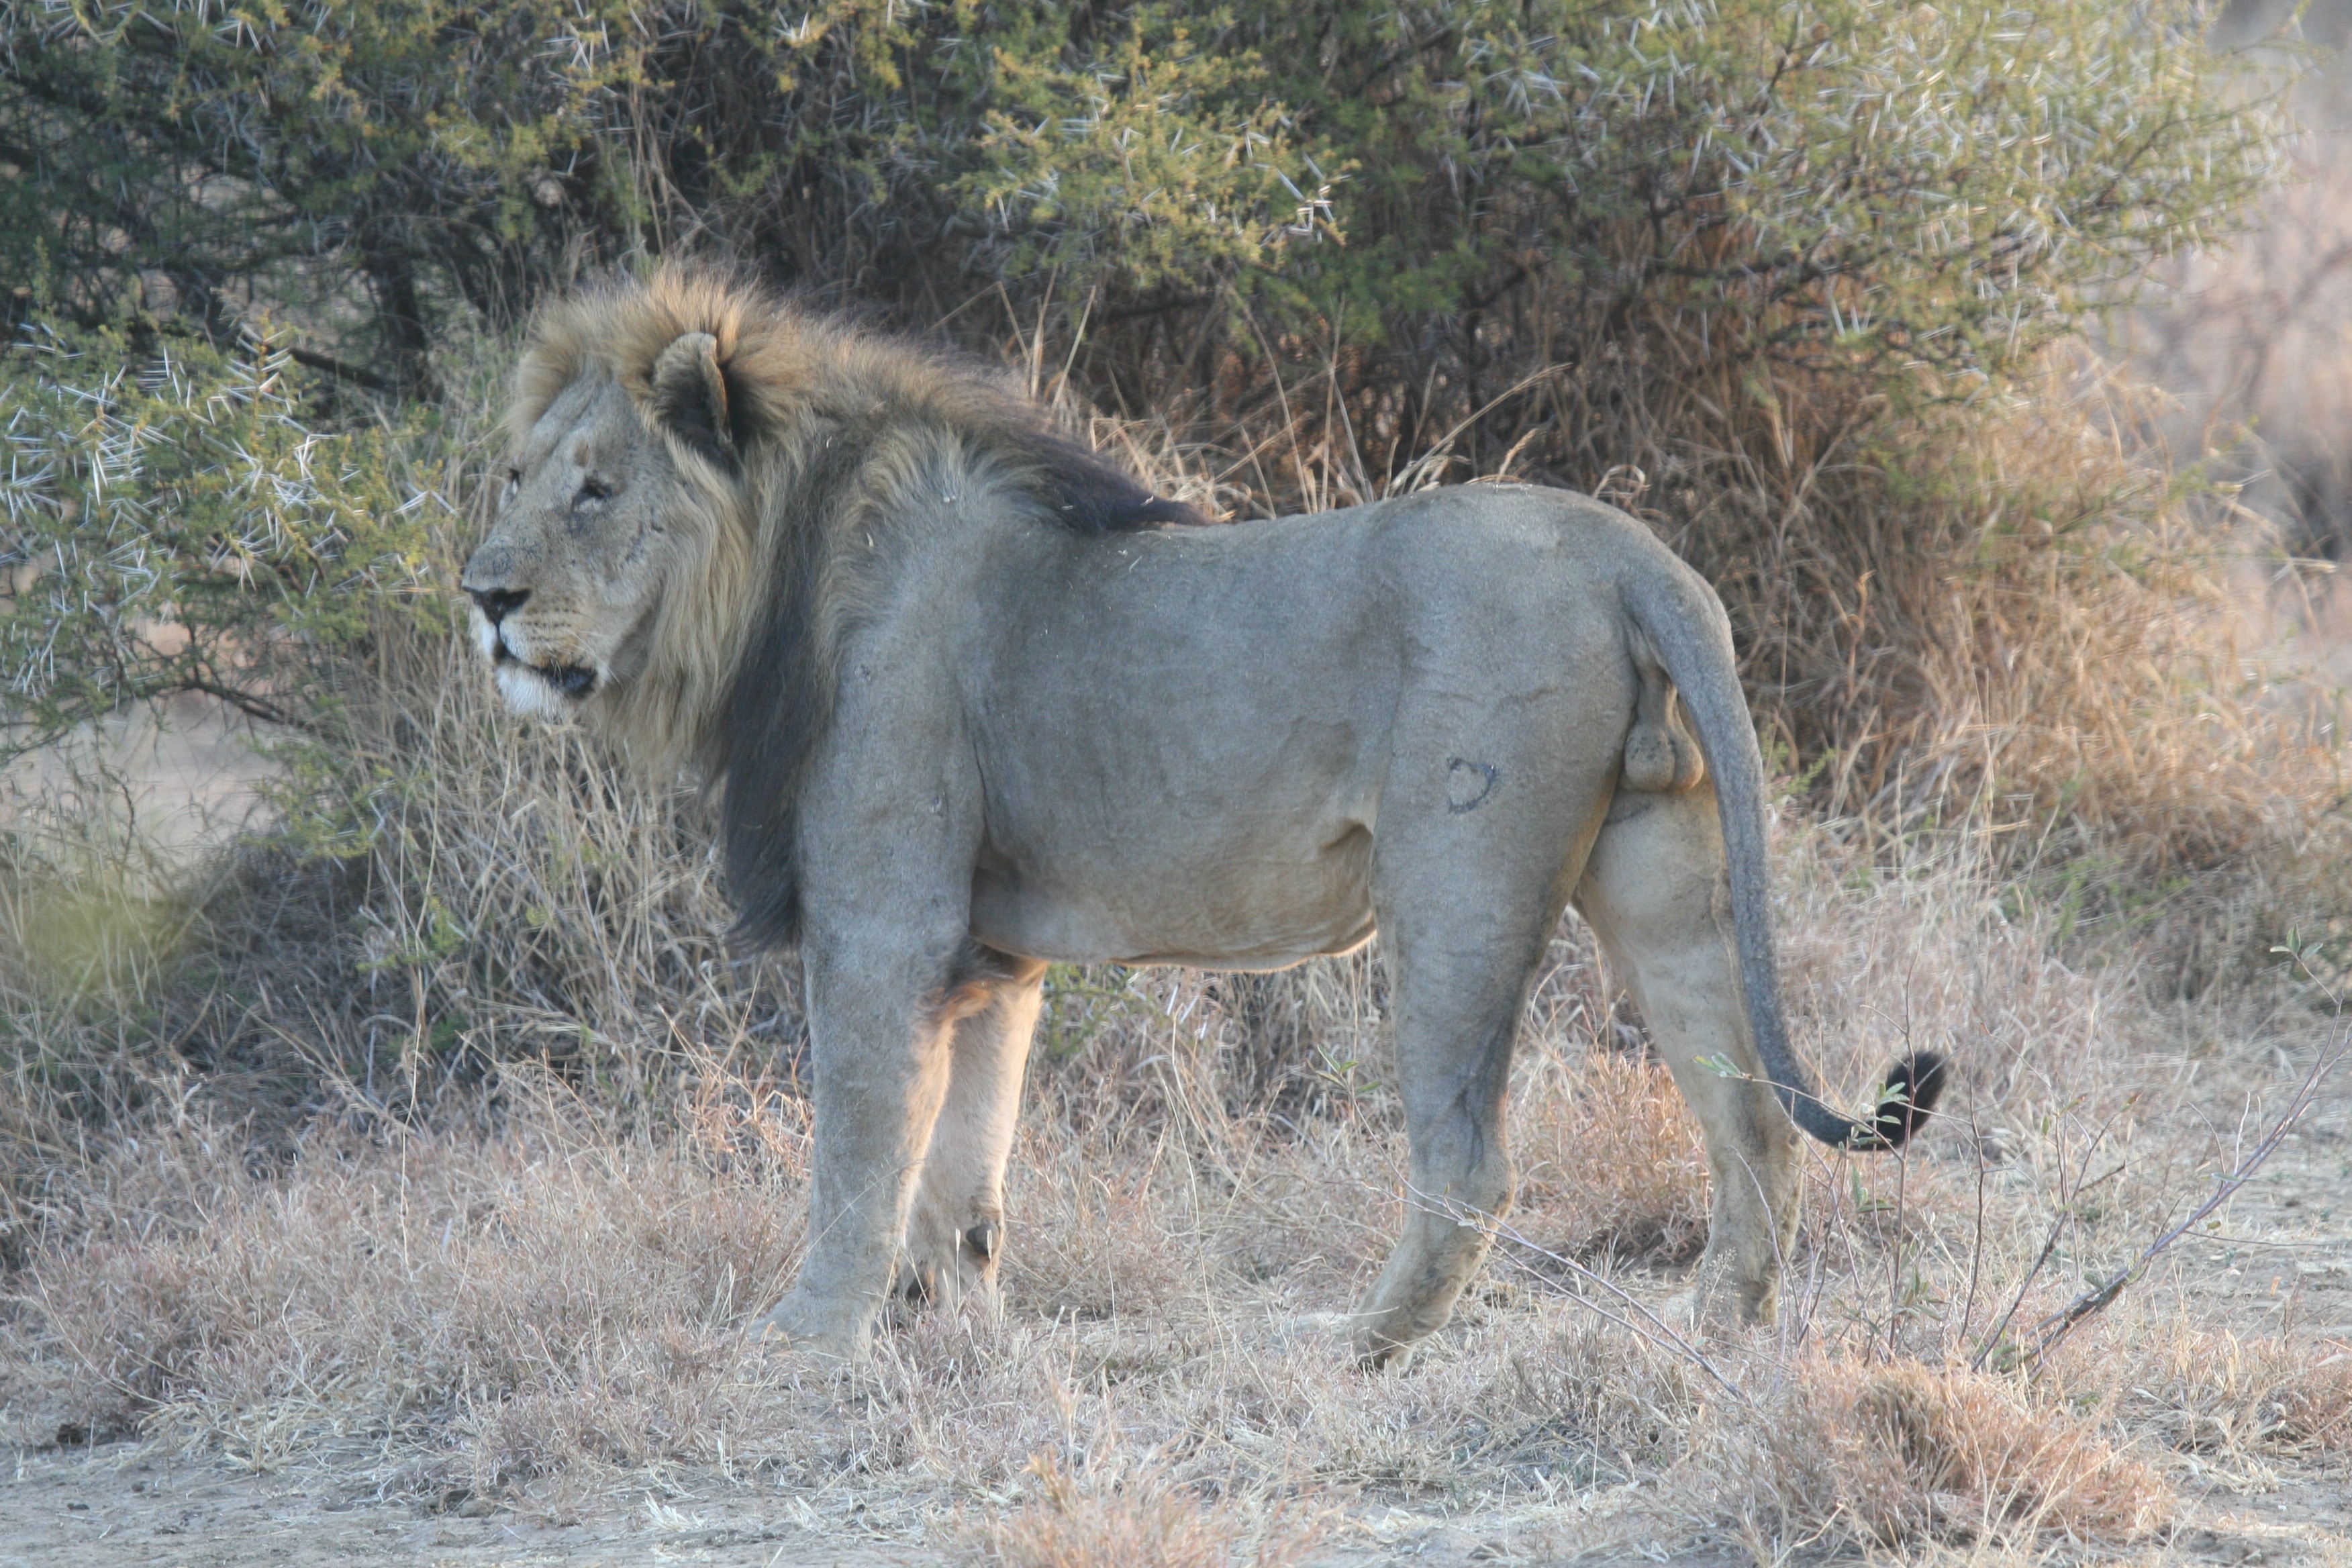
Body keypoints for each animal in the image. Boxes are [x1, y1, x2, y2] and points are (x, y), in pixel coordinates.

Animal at [463, 266, 1947, 1363]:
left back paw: (1355, 1344)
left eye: (598, 487)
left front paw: (805, 1339)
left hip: (1458, 892)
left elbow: (859, 1147)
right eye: (518, 475)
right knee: (1748, 1120)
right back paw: (1713, 1330)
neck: (788, 574)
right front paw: (965, 1334)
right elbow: (966, 1172)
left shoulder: (882, 922)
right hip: (1663, 875)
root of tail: (1628, 550)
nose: (482, 595)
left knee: (1470, 1162)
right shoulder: (990, 950)